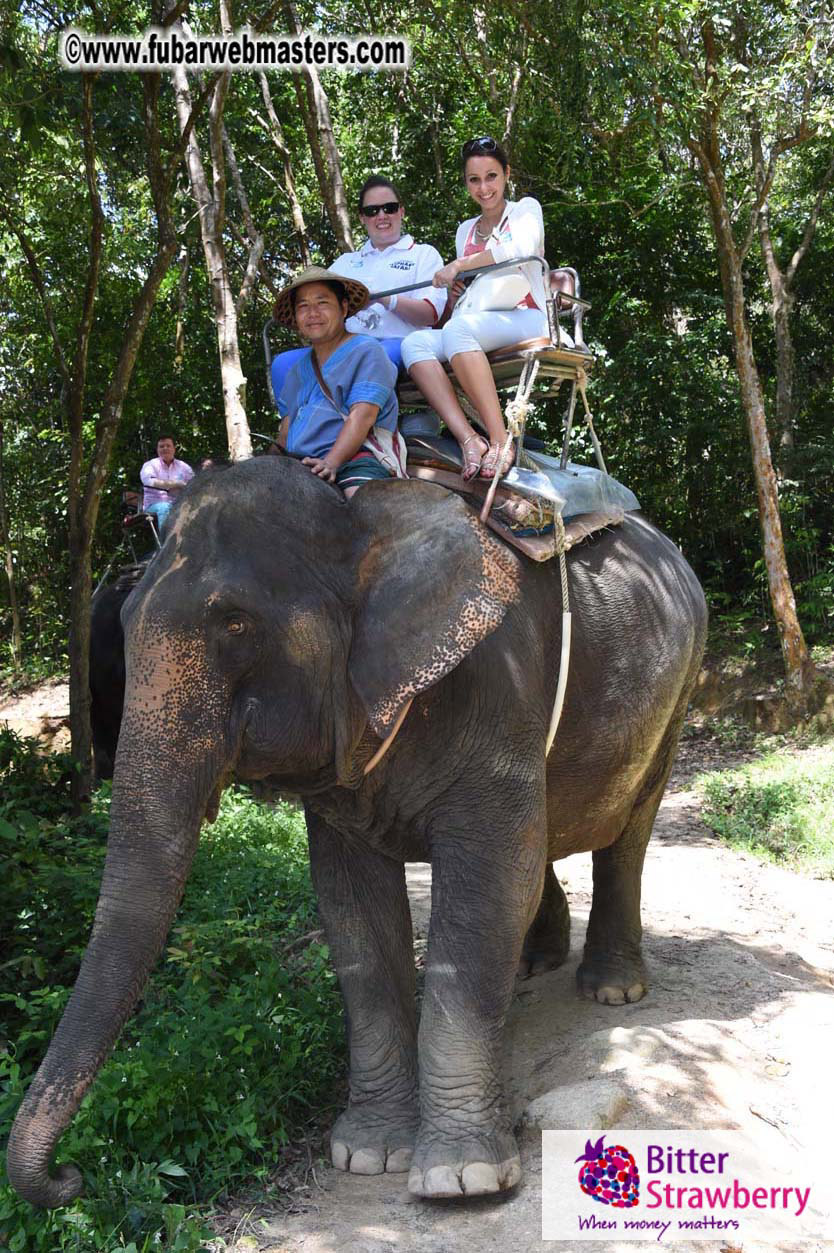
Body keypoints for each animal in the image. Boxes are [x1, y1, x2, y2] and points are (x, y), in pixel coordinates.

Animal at [8, 455, 707, 1207]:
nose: (69, 1177)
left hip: (679, 690)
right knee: (544, 836)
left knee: (627, 832)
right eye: (126, 621)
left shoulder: (498, 686)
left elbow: (487, 883)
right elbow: (354, 904)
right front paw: (369, 1154)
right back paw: (531, 963)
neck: (358, 519)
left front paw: (461, 1178)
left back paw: (611, 989)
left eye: (235, 623)